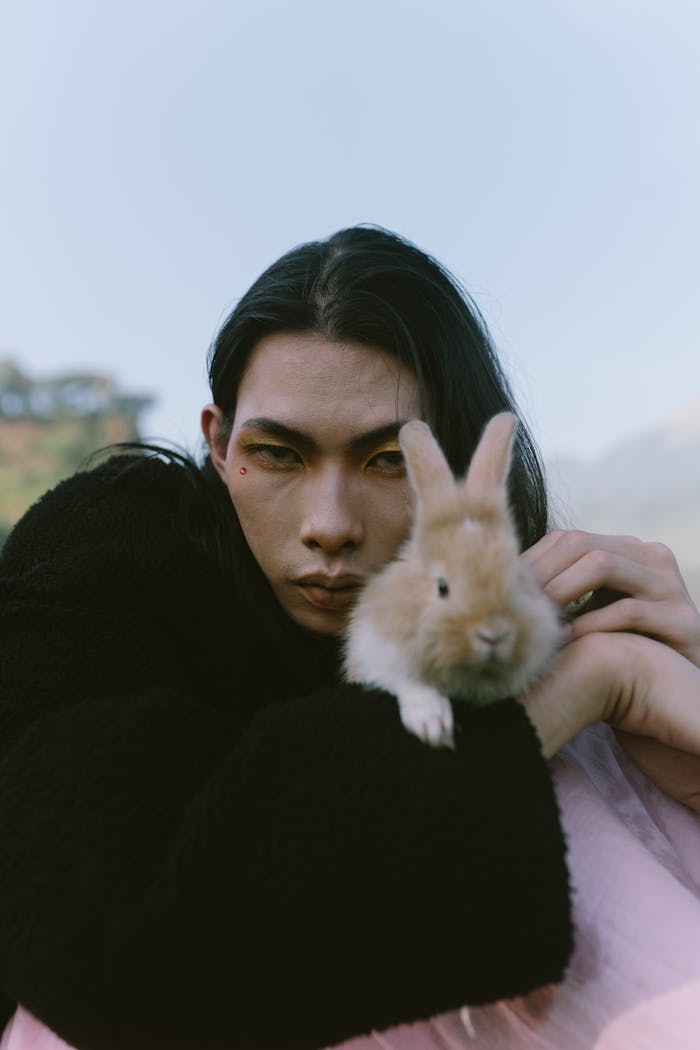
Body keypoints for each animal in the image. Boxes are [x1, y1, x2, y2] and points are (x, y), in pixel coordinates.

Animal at [342, 409, 562, 747]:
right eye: (442, 587)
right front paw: (432, 726)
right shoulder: (374, 655)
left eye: (517, 580)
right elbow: (409, 682)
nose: (493, 634)